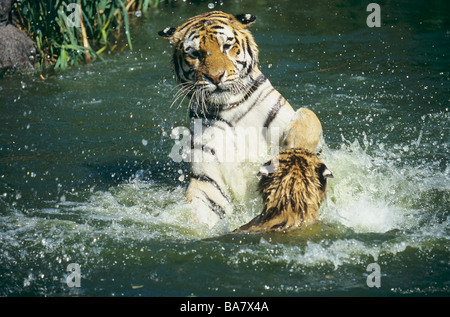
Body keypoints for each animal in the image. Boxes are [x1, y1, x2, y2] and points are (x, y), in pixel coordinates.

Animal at [158, 11, 324, 228]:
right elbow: (199, 208)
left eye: (227, 46)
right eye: (194, 54)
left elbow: (309, 116)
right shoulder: (208, 178)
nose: (215, 77)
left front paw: (292, 152)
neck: (230, 107)